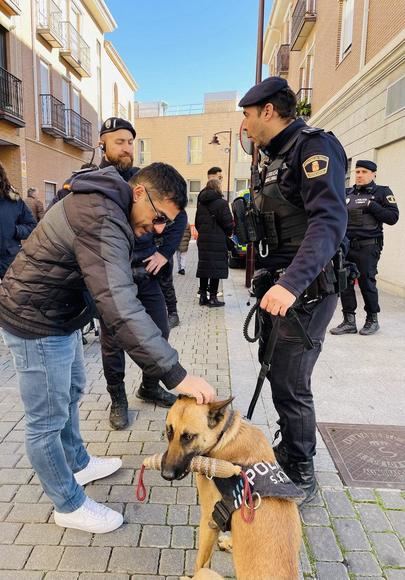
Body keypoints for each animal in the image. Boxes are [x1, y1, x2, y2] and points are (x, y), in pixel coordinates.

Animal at [160, 396, 300, 576]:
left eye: (188, 437)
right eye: (169, 431)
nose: (166, 474)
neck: (224, 436)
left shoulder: (209, 519)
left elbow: (200, 561)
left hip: (208, 573)